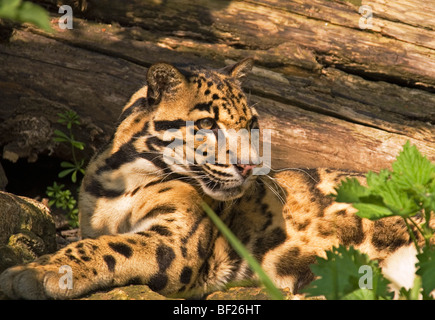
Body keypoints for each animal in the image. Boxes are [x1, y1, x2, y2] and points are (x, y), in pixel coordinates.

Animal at [0, 58, 422, 300]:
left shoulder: (175, 244)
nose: (251, 167)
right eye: (206, 125)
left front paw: (33, 273)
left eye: (252, 124)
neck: (121, 179)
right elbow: (96, 239)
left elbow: (106, 247)